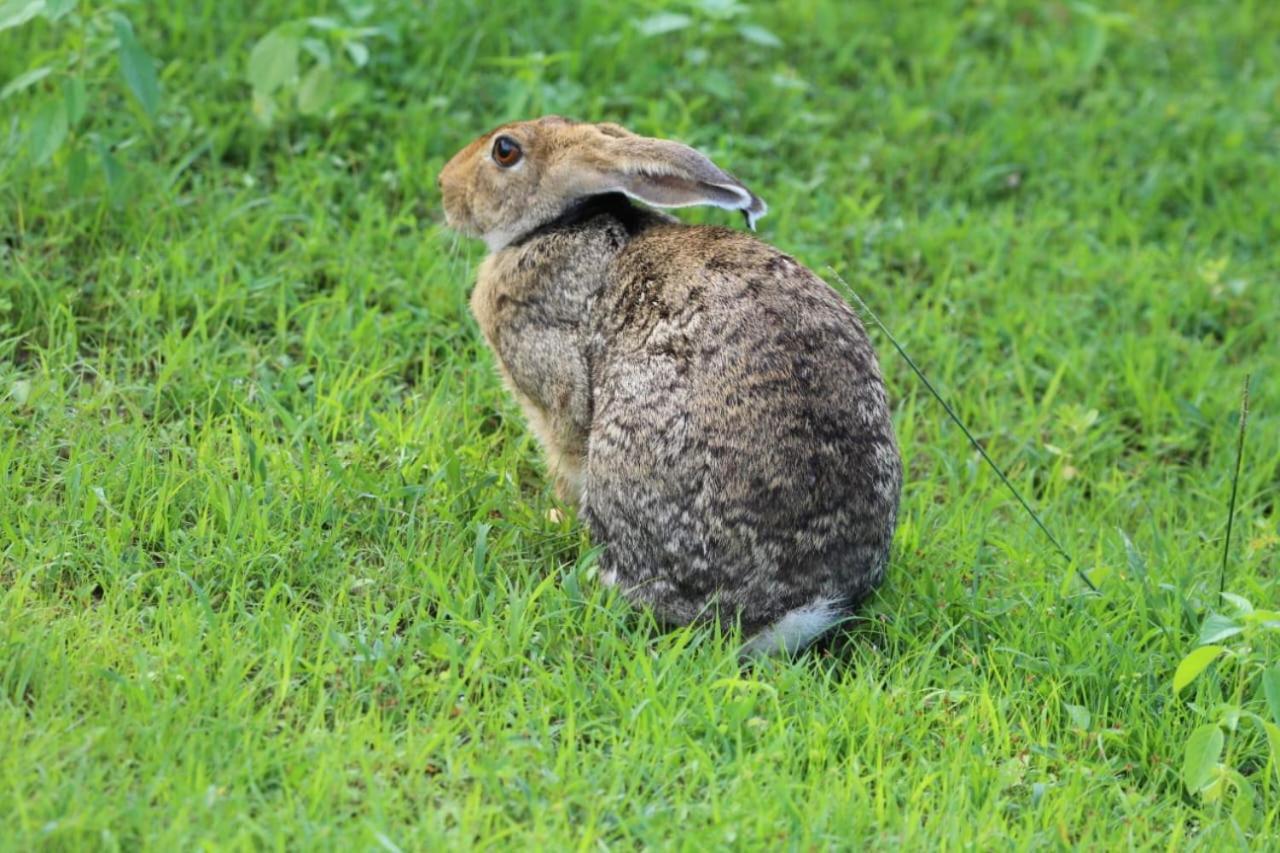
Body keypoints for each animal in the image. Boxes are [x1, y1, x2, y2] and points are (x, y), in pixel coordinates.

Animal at [440, 116, 901, 653]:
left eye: (505, 151)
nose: (445, 186)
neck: (559, 224)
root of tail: (785, 614)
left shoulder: (555, 391)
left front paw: (555, 515)